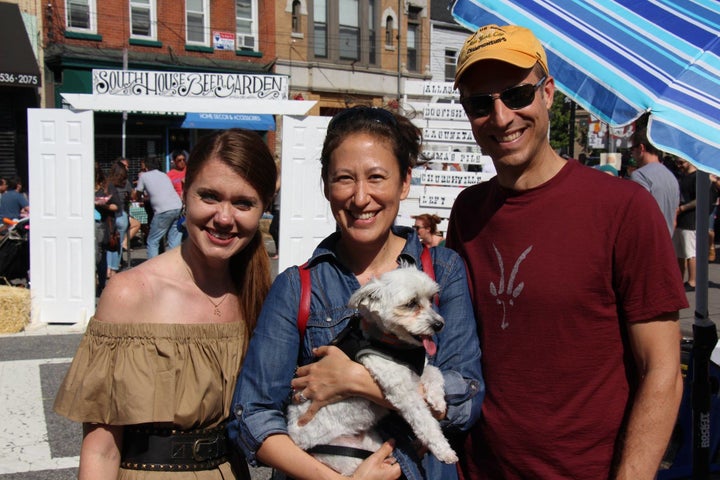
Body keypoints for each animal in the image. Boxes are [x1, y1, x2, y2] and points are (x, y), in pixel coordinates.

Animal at [286, 268, 458, 474]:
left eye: (431, 299)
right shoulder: (403, 393)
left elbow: (435, 372)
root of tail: (299, 443)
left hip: (370, 442)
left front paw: (438, 400)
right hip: (346, 459)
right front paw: (444, 451)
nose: (439, 324)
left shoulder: (417, 370)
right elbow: (425, 422)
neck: (391, 343)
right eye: (411, 303)